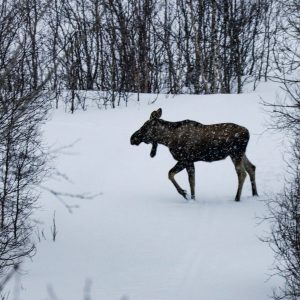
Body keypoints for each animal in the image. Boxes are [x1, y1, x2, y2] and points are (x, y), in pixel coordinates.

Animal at [129, 108, 258, 202]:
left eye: (145, 126)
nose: (132, 138)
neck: (167, 140)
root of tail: (247, 132)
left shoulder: (186, 159)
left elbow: (175, 175)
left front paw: (185, 194)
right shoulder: (190, 161)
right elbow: (188, 180)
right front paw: (190, 197)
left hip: (235, 153)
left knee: (242, 173)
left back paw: (237, 198)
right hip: (239, 153)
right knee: (251, 167)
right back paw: (255, 194)